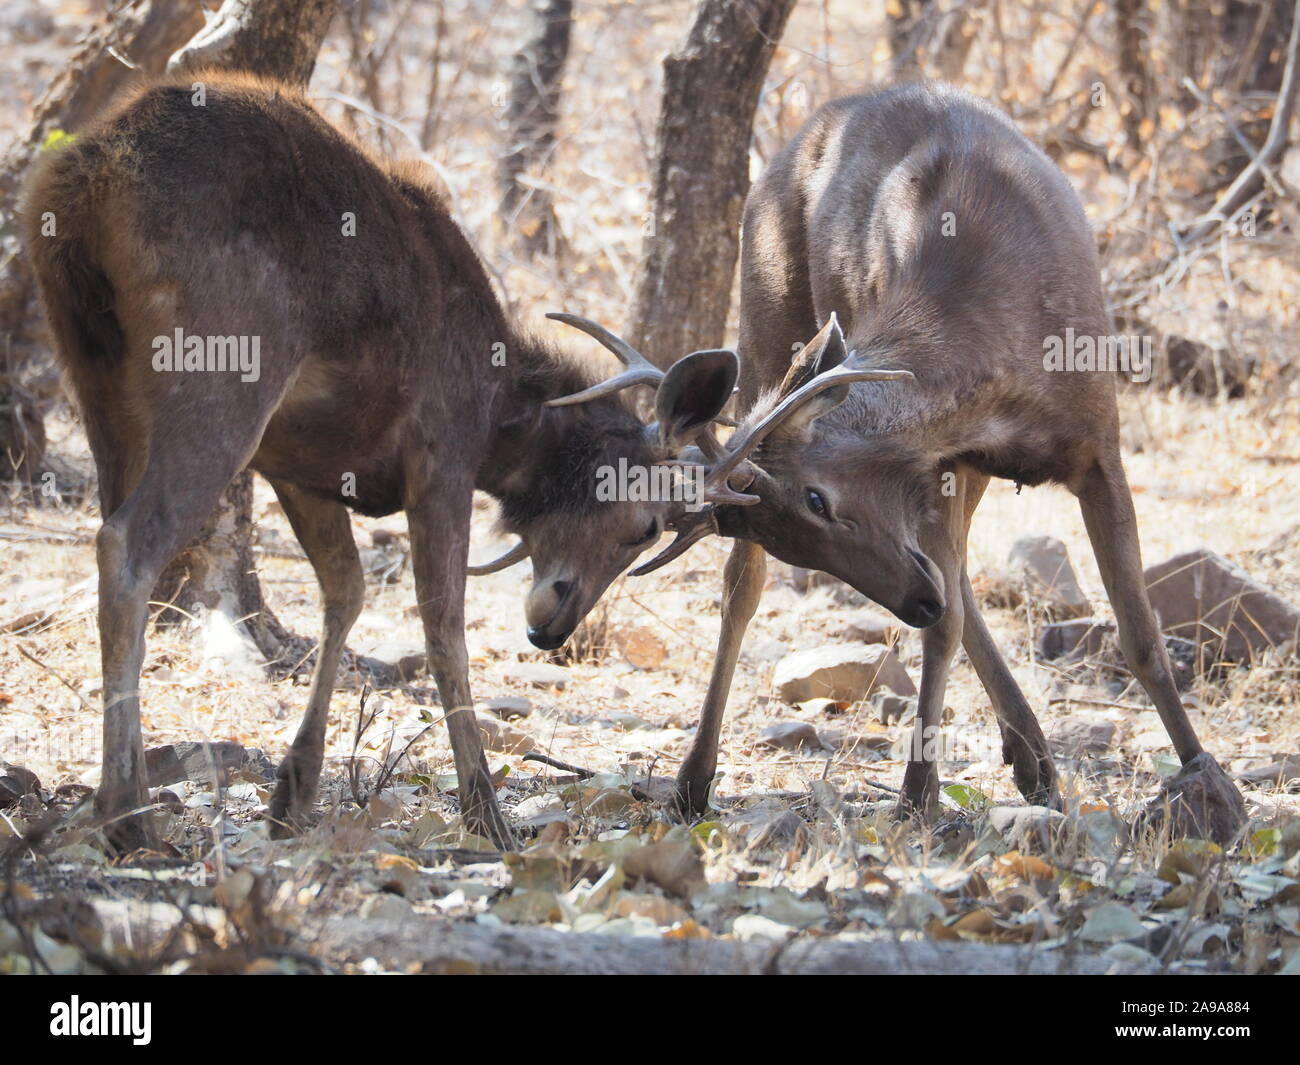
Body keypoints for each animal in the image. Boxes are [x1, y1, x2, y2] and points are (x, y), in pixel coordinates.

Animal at [22, 75, 743, 853]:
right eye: (645, 526)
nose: (551, 628)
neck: (501, 420)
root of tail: (91, 173)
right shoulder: (441, 453)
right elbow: (443, 625)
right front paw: (486, 811)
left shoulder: (301, 466)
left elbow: (347, 590)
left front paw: (294, 789)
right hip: (222, 375)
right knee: (127, 545)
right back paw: (128, 812)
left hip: (95, 376)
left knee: (112, 529)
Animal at [639, 83, 1248, 847]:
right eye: (792, 531)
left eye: (818, 499)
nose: (912, 599)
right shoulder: (941, 465)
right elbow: (946, 622)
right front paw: (917, 794)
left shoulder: (1097, 446)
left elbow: (1141, 637)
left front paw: (1206, 776)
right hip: (767, 315)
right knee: (749, 587)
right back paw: (694, 782)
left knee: (954, 587)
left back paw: (1033, 756)